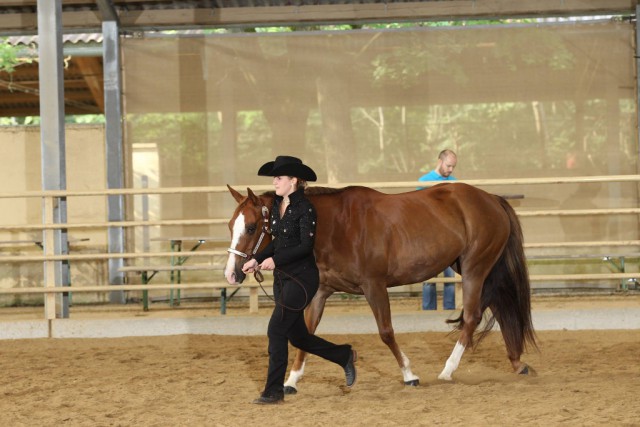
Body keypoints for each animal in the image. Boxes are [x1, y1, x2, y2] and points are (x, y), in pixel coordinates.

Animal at [222, 182, 536, 392]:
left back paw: (448, 370)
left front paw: (409, 374)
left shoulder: (374, 286)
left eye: (251, 227)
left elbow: (386, 332)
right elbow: (306, 333)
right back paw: (517, 363)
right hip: (476, 269)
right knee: (499, 309)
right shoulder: (320, 292)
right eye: (230, 225)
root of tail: (491, 199)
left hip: (475, 268)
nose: (232, 273)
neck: (335, 226)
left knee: (471, 317)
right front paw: (291, 380)